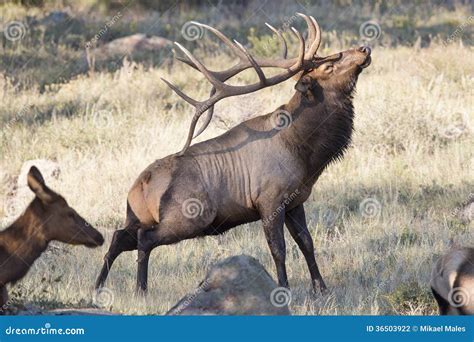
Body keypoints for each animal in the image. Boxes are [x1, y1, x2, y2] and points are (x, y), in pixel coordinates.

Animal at [94, 13, 372, 296]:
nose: (364, 48)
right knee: (144, 239)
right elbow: (278, 249)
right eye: (329, 66)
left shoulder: (296, 200)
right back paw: (140, 288)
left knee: (118, 236)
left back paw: (98, 285)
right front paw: (283, 288)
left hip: (137, 216)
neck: (305, 153)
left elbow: (306, 242)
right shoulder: (269, 199)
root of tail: (139, 185)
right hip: (189, 217)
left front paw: (321, 288)